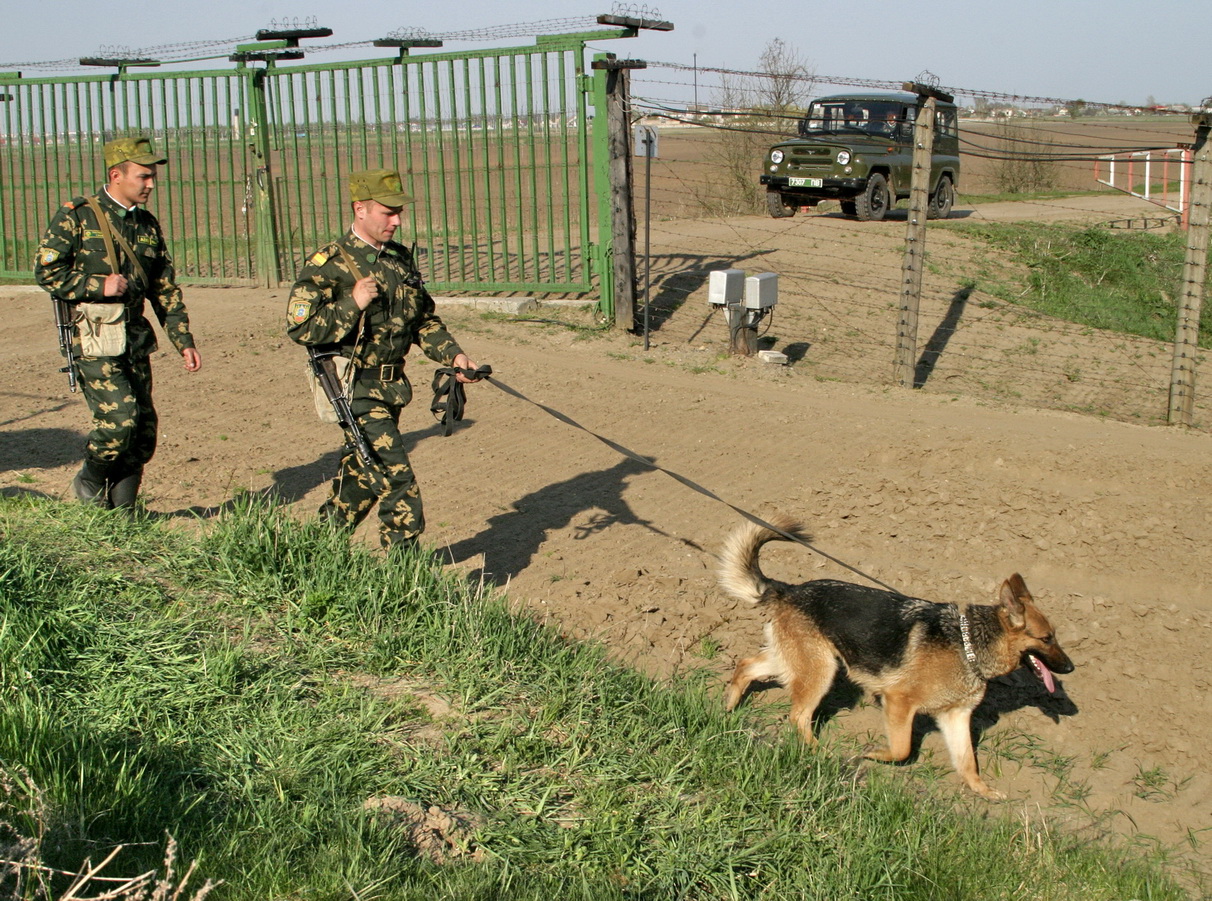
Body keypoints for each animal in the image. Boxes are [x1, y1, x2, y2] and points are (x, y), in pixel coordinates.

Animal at [718, 515, 1074, 800]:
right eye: (1046, 638)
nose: (1071, 667)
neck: (968, 644)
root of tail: (788, 589)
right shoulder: (898, 702)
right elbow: (902, 750)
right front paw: (874, 755)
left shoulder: (956, 717)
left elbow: (968, 762)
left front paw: (982, 791)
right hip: (821, 671)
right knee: (799, 716)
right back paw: (819, 755)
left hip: (799, 662)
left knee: (746, 666)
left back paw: (728, 710)